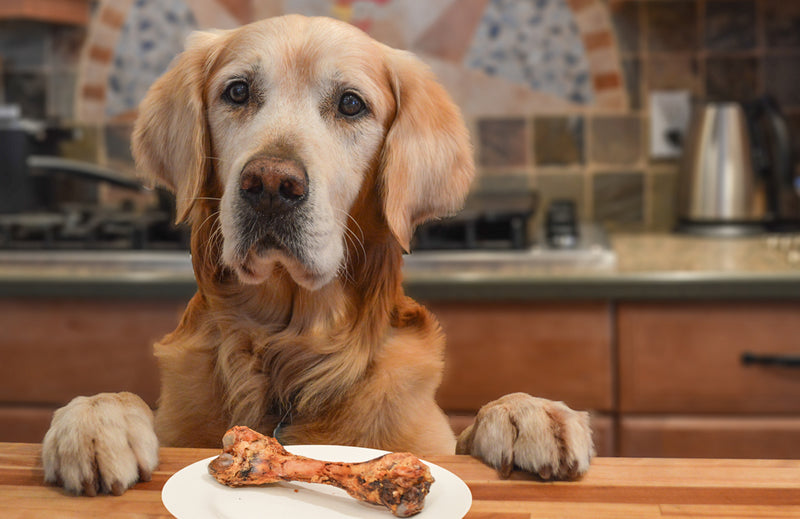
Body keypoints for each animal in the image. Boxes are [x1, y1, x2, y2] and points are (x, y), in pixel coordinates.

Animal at [43, 14, 592, 498]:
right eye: (237, 92)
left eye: (351, 104)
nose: (270, 185)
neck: (289, 351)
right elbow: (125, 402)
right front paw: (96, 417)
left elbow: (470, 428)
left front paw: (526, 412)